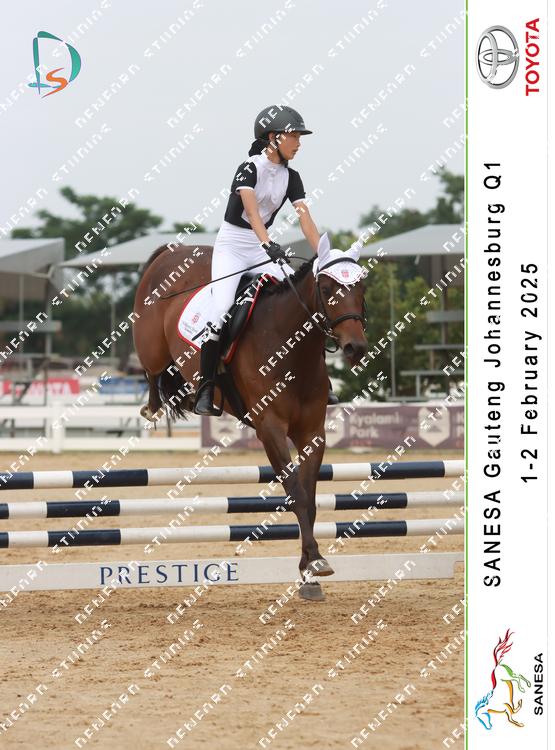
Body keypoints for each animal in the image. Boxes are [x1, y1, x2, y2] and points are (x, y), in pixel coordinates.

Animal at [132, 233, 368, 599]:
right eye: (327, 289)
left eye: (361, 288)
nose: (356, 348)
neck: (291, 347)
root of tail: (172, 251)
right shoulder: (270, 430)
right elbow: (296, 494)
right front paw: (314, 563)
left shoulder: (311, 432)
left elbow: (311, 498)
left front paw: (309, 570)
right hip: (150, 346)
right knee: (152, 368)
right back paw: (156, 404)